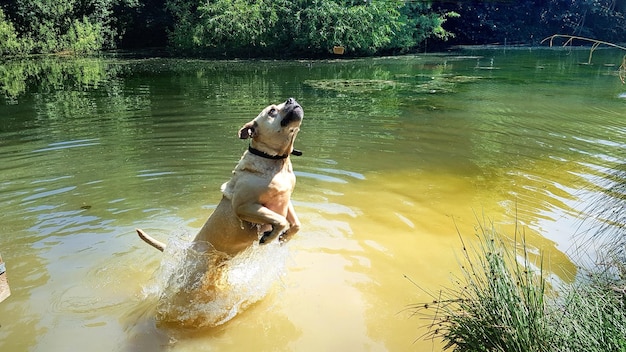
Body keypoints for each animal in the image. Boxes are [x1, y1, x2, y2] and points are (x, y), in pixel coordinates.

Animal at [136, 98, 302, 256]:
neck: (274, 160)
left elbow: (296, 224)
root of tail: (189, 248)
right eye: (272, 110)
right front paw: (270, 237)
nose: (291, 99)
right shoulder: (243, 206)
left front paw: (285, 236)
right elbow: (280, 220)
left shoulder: (286, 200)